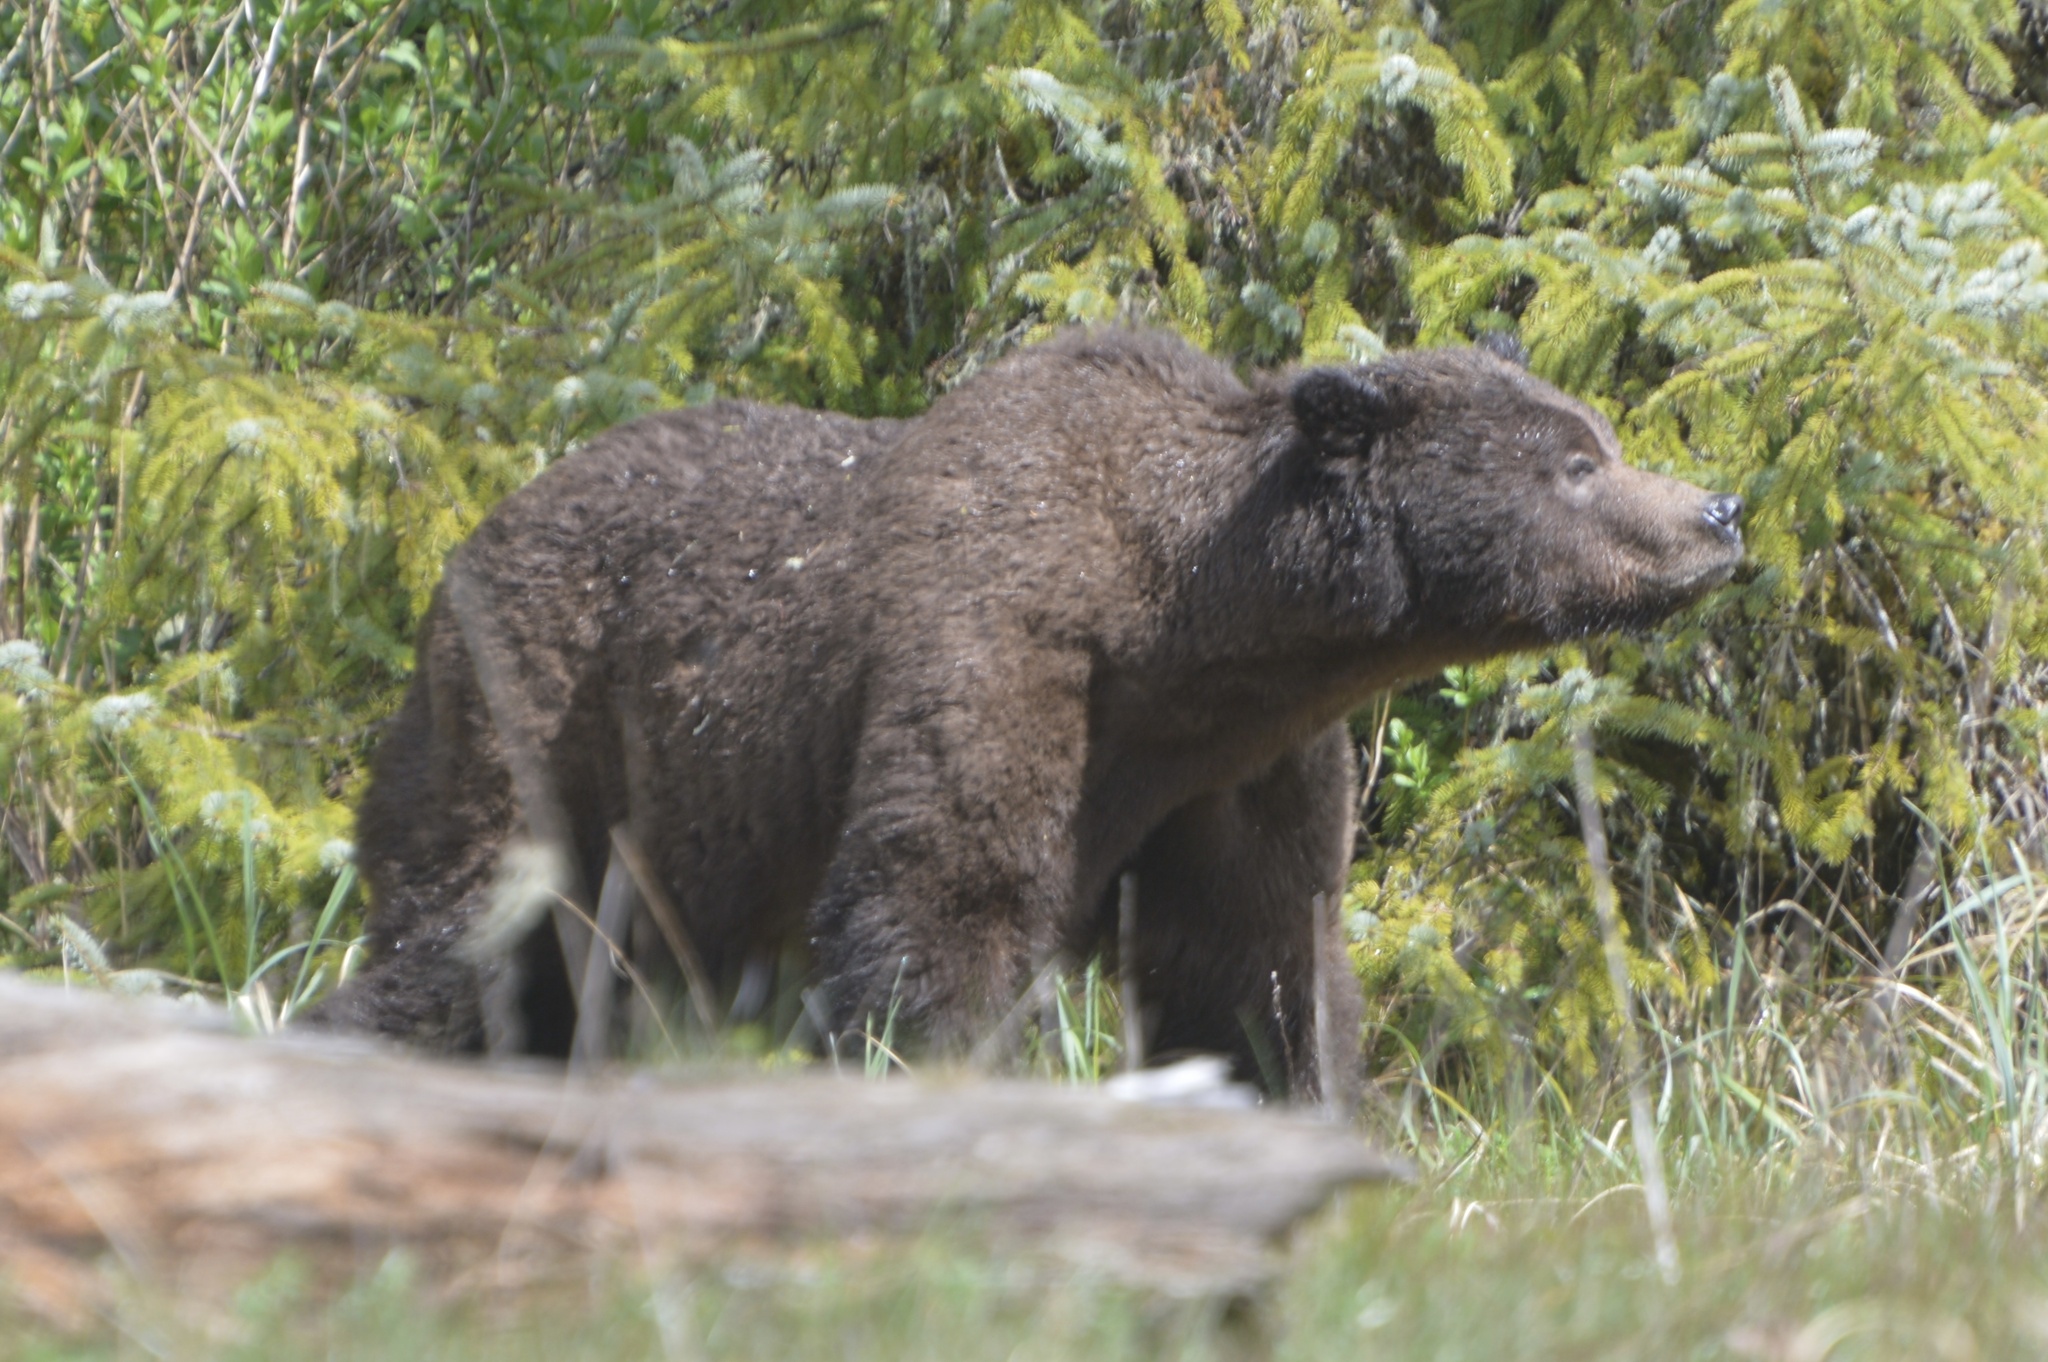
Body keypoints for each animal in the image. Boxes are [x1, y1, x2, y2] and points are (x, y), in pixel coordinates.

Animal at [313, 328, 1744, 1099]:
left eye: (1596, 434)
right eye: (1575, 464)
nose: (1719, 512)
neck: (1182, 628)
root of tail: (467, 536)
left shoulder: (1238, 766)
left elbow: (1257, 952)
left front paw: (1303, 1094)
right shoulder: (999, 648)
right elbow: (947, 896)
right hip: (542, 717)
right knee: (468, 928)